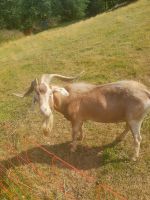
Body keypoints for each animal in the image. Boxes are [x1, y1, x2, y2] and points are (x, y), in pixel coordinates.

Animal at [13, 75, 150, 161]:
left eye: (50, 93)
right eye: (36, 97)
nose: (44, 111)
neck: (67, 97)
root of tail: (145, 91)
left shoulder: (76, 119)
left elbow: (73, 133)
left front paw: (73, 148)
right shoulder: (81, 118)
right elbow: (81, 128)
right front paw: (81, 138)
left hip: (135, 120)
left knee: (137, 138)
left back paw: (133, 157)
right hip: (130, 118)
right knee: (127, 127)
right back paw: (119, 138)